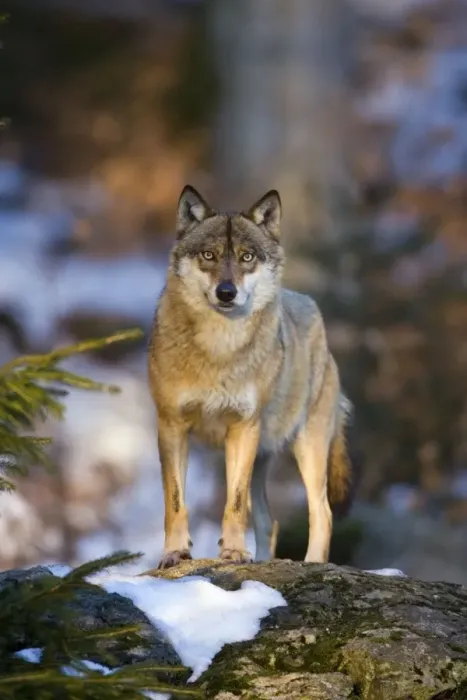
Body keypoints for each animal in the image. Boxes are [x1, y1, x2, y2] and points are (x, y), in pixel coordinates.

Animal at [148, 185, 351, 569]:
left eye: (246, 257)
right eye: (209, 255)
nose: (226, 292)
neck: (220, 349)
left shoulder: (244, 428)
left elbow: (234, 503)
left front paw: (234, 553)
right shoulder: (171, 426)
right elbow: (175, 502)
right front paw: (175, 553)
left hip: (306, 447)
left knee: (323, 513)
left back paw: (313, 565)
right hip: (263, 457)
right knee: (271, 522)